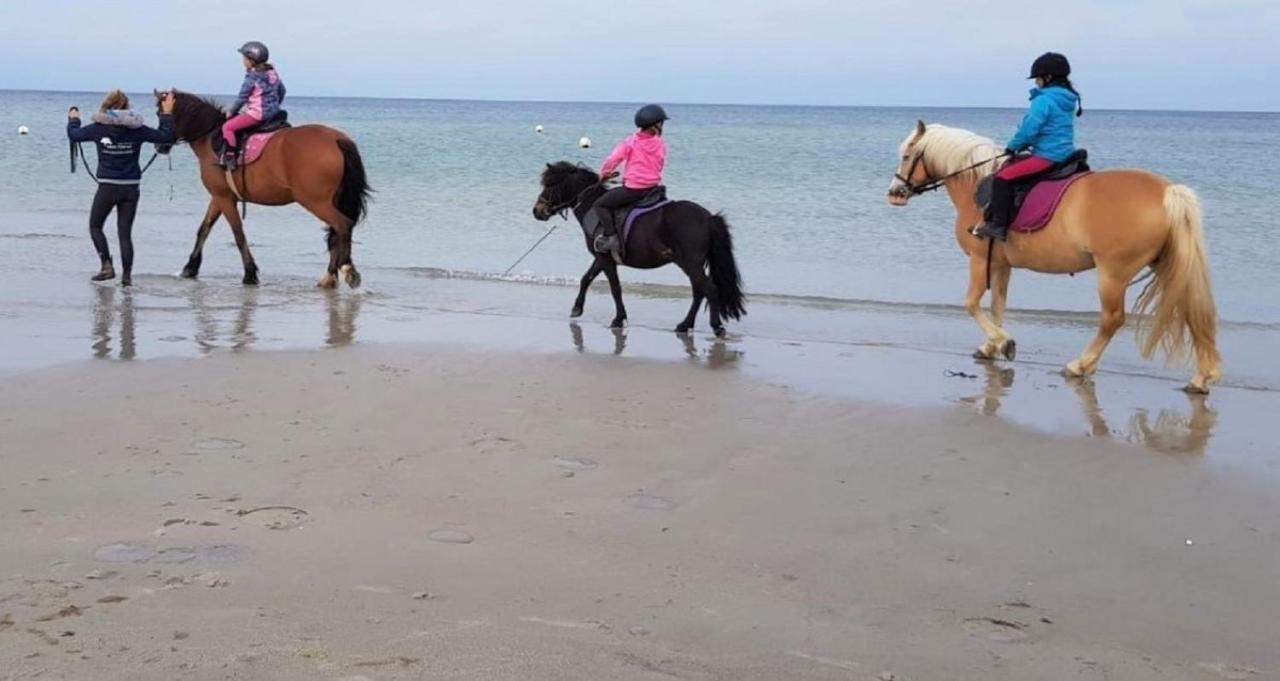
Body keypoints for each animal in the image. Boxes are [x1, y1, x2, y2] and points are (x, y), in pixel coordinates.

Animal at [156, 89, 371, 286]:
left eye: (159, 113)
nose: (160, 147)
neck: (210, 137)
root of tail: (338, 139)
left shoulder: (223, 197)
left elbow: (238, 233)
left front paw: (250, 273)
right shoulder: (219, 196)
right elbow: (204, 229)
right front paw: (190, 268)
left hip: (316, 202)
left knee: (342, 225)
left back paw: (347, 270)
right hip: (333, 199)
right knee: (335, 233)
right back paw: (329, 277)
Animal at [532, 162, 747, 337]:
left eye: (549, 185)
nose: (537, 211)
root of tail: (708, 217)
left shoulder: (605, 259)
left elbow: (615, 288)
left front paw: (618, 319)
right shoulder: (601, 257)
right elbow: (587, 278)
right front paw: (577, 309)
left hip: (690, 263)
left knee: (709, 289)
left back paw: (716, 326)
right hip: (692, 264)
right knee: (699, 291)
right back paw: (684, 325)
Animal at [885, 119, 1223, 391]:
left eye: (906, 155)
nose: (894, 193)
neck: (976, 183)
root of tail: (1169, 192)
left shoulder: (980, 260)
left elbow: (971, 303)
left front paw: (1003, 342)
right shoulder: (1001, 263)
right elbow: (998, 305)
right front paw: (992, 346)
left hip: (1113, 273)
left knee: (1112, 320)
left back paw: (1081, 365)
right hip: (1167, 265)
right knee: (1192, 311)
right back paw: (1201, 378)